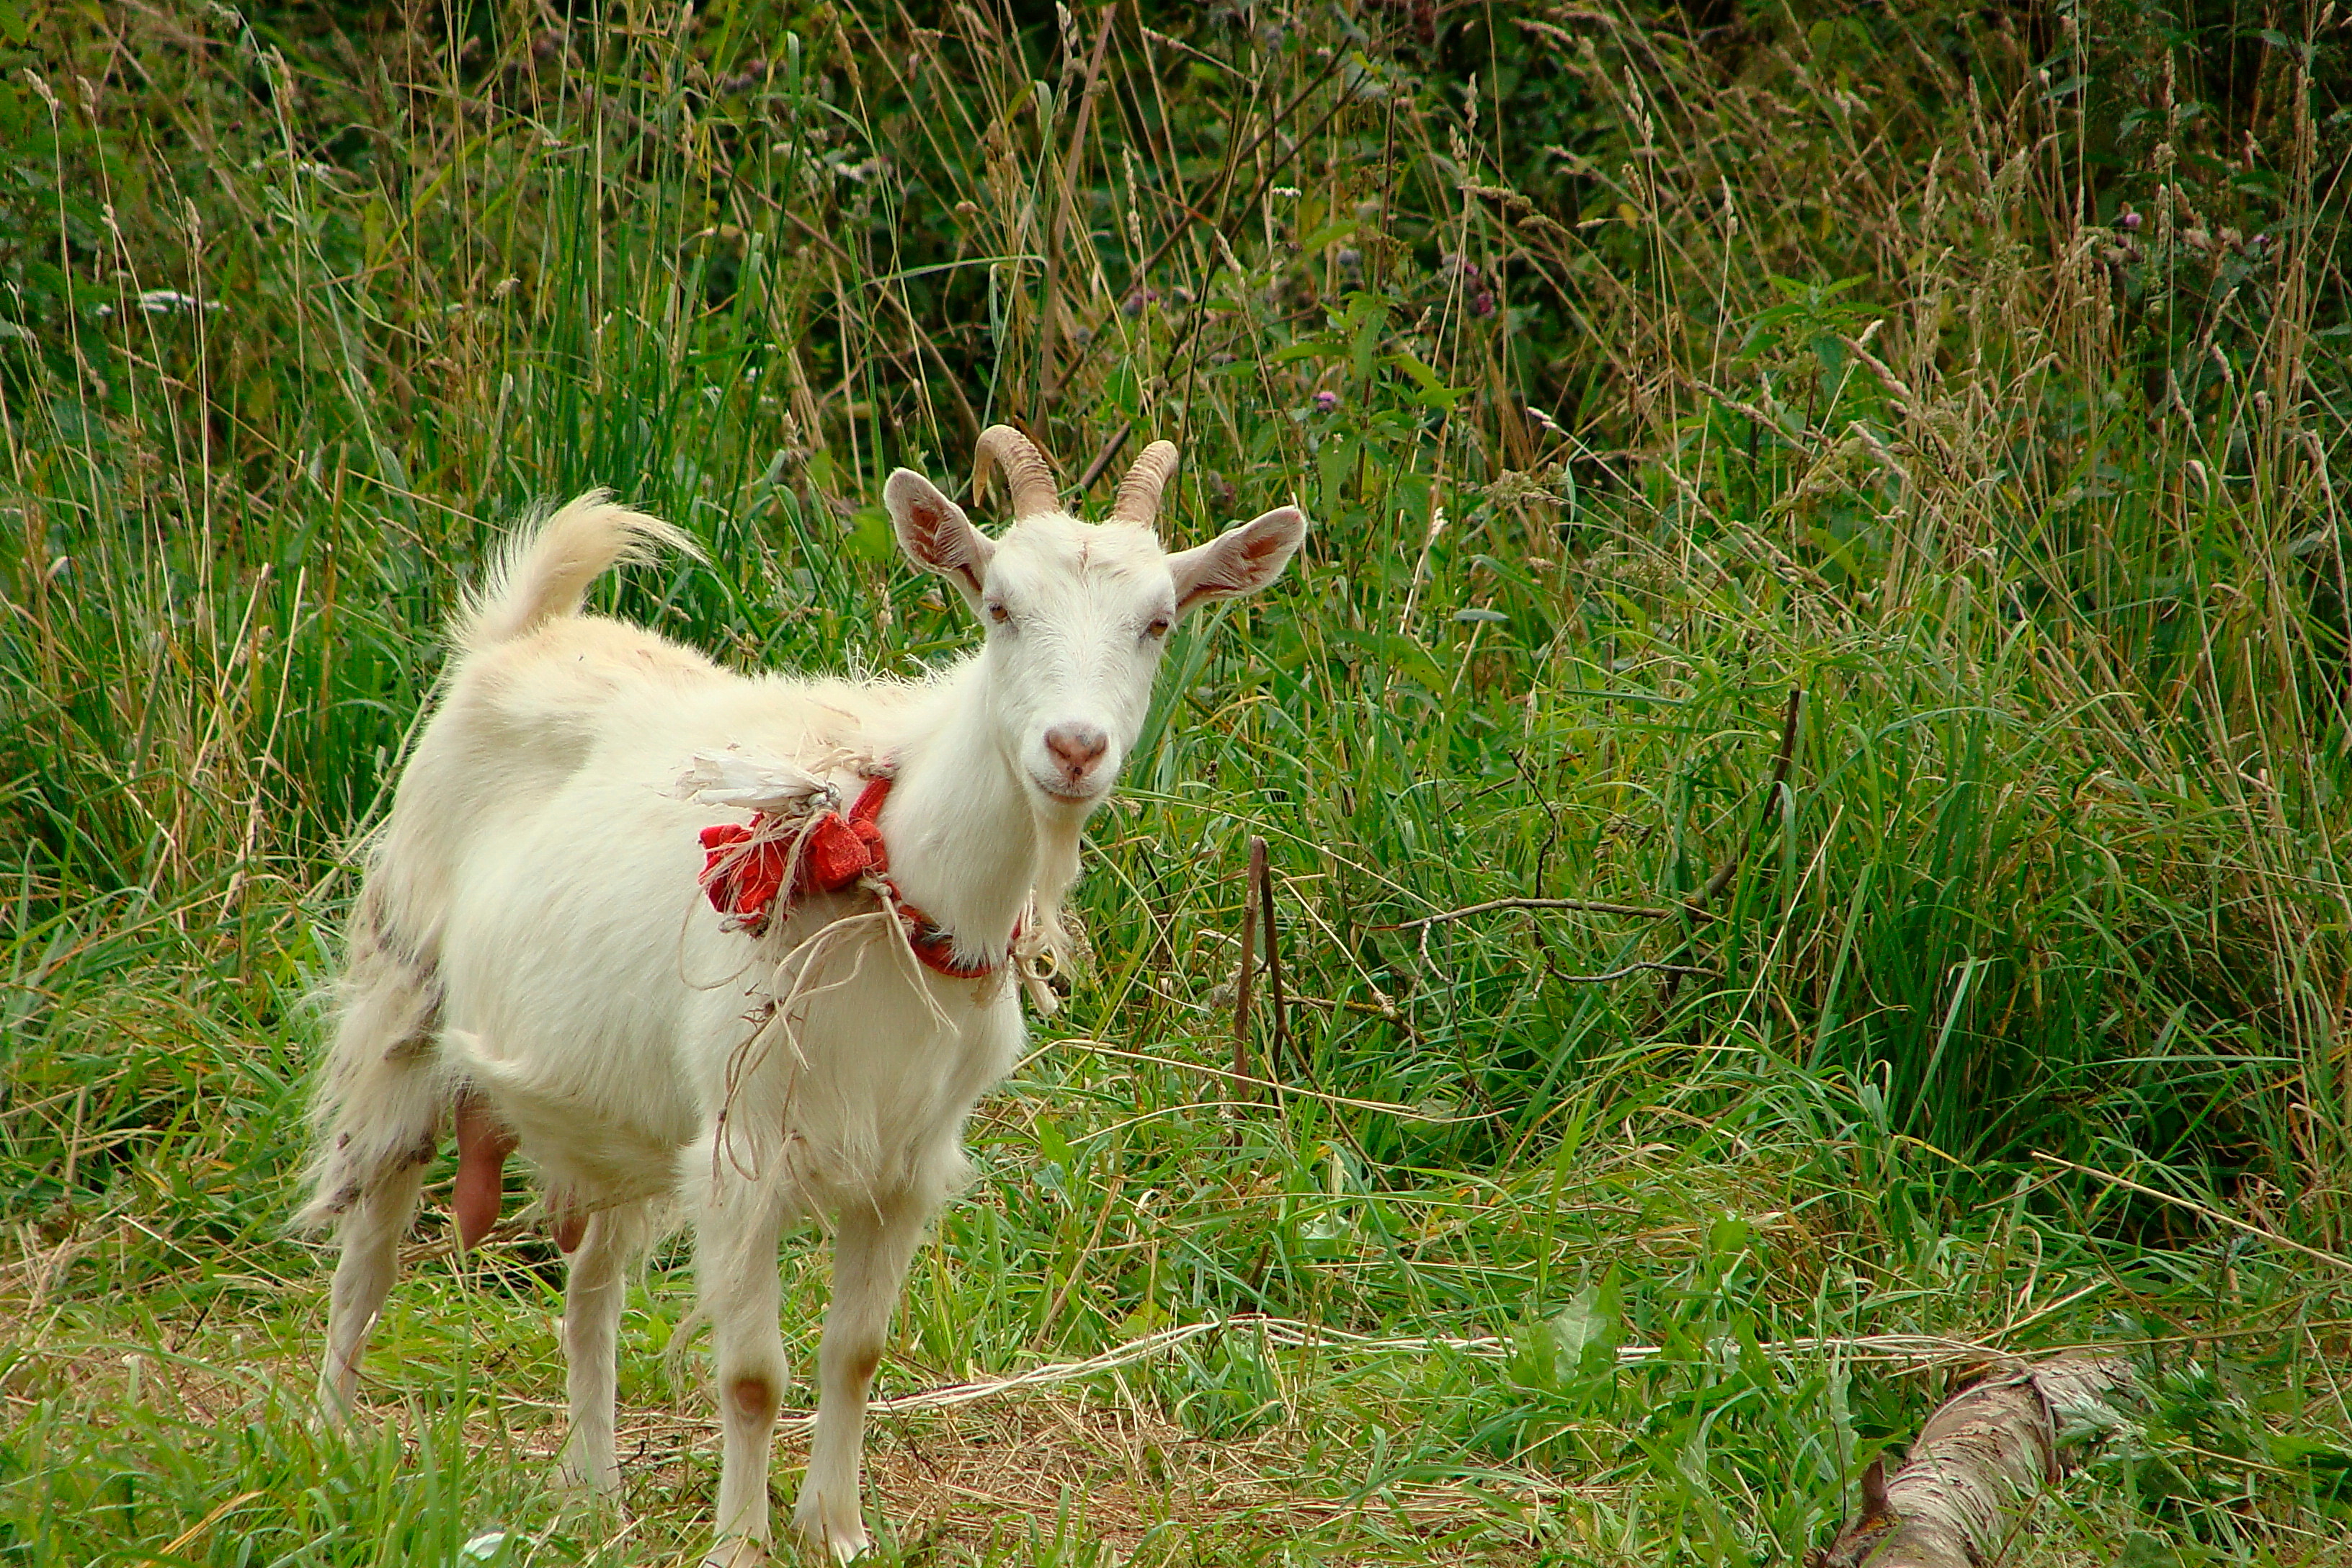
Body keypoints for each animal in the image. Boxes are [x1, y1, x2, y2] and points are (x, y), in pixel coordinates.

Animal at [294, 423, 1307, 1561]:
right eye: (1000, 606)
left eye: (1158, 621)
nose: (1075, 748)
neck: (894, 864)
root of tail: (518, 641)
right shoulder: (745, 1153)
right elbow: (753, 1377)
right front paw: (742, 1542)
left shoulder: (907, 1162)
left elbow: (854, 1353)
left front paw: (839, 1531)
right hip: (404, 999)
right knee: (368, 1249)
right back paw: (332, 1443)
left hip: (625, 1108)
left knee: (591, 1290)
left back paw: (594, 1490)